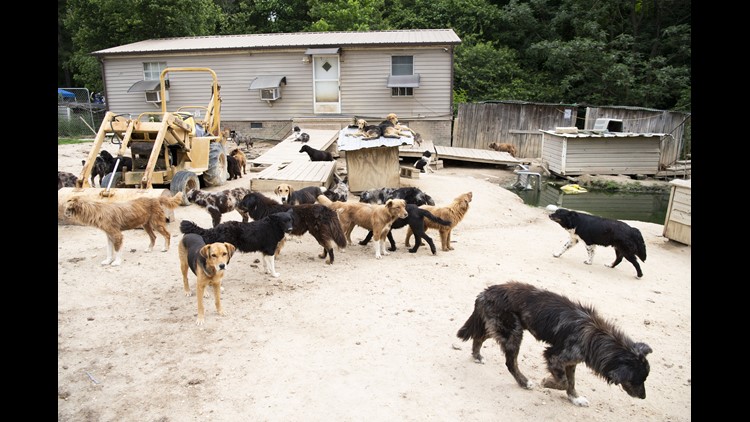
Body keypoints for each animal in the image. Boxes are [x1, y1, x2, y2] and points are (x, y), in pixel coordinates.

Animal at [456, 282, 656, 408]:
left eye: (644, 379)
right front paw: (547, 382)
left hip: (499, 328)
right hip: (513, 333)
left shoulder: (571, 362)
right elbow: (563, 381)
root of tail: (486, 292)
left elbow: (571, 382)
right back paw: (524, 382)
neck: (596, 336)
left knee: (478, 337)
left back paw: (477, 356)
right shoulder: (554, 357)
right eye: (636, 381)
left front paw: (575, 399)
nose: (644, 397)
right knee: (510, 363)